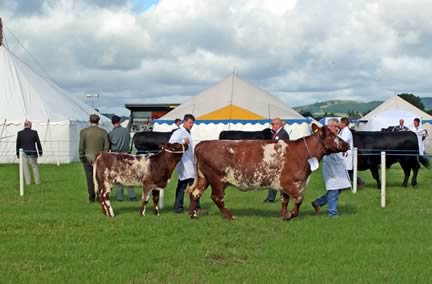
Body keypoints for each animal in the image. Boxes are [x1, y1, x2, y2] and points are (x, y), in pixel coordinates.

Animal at [187, 125, 350, 221]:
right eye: (332, 136)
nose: (347, 144)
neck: (302, 154)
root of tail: (202, 143)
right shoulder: (288, 182)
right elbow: (299, 198)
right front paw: (291, 215)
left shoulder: (284, 185)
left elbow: (285, 200)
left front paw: (284, 215)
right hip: (217, 179)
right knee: (217, 198)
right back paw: (230, 216)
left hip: (203, 178)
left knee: (195, 193)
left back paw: (192, 214)